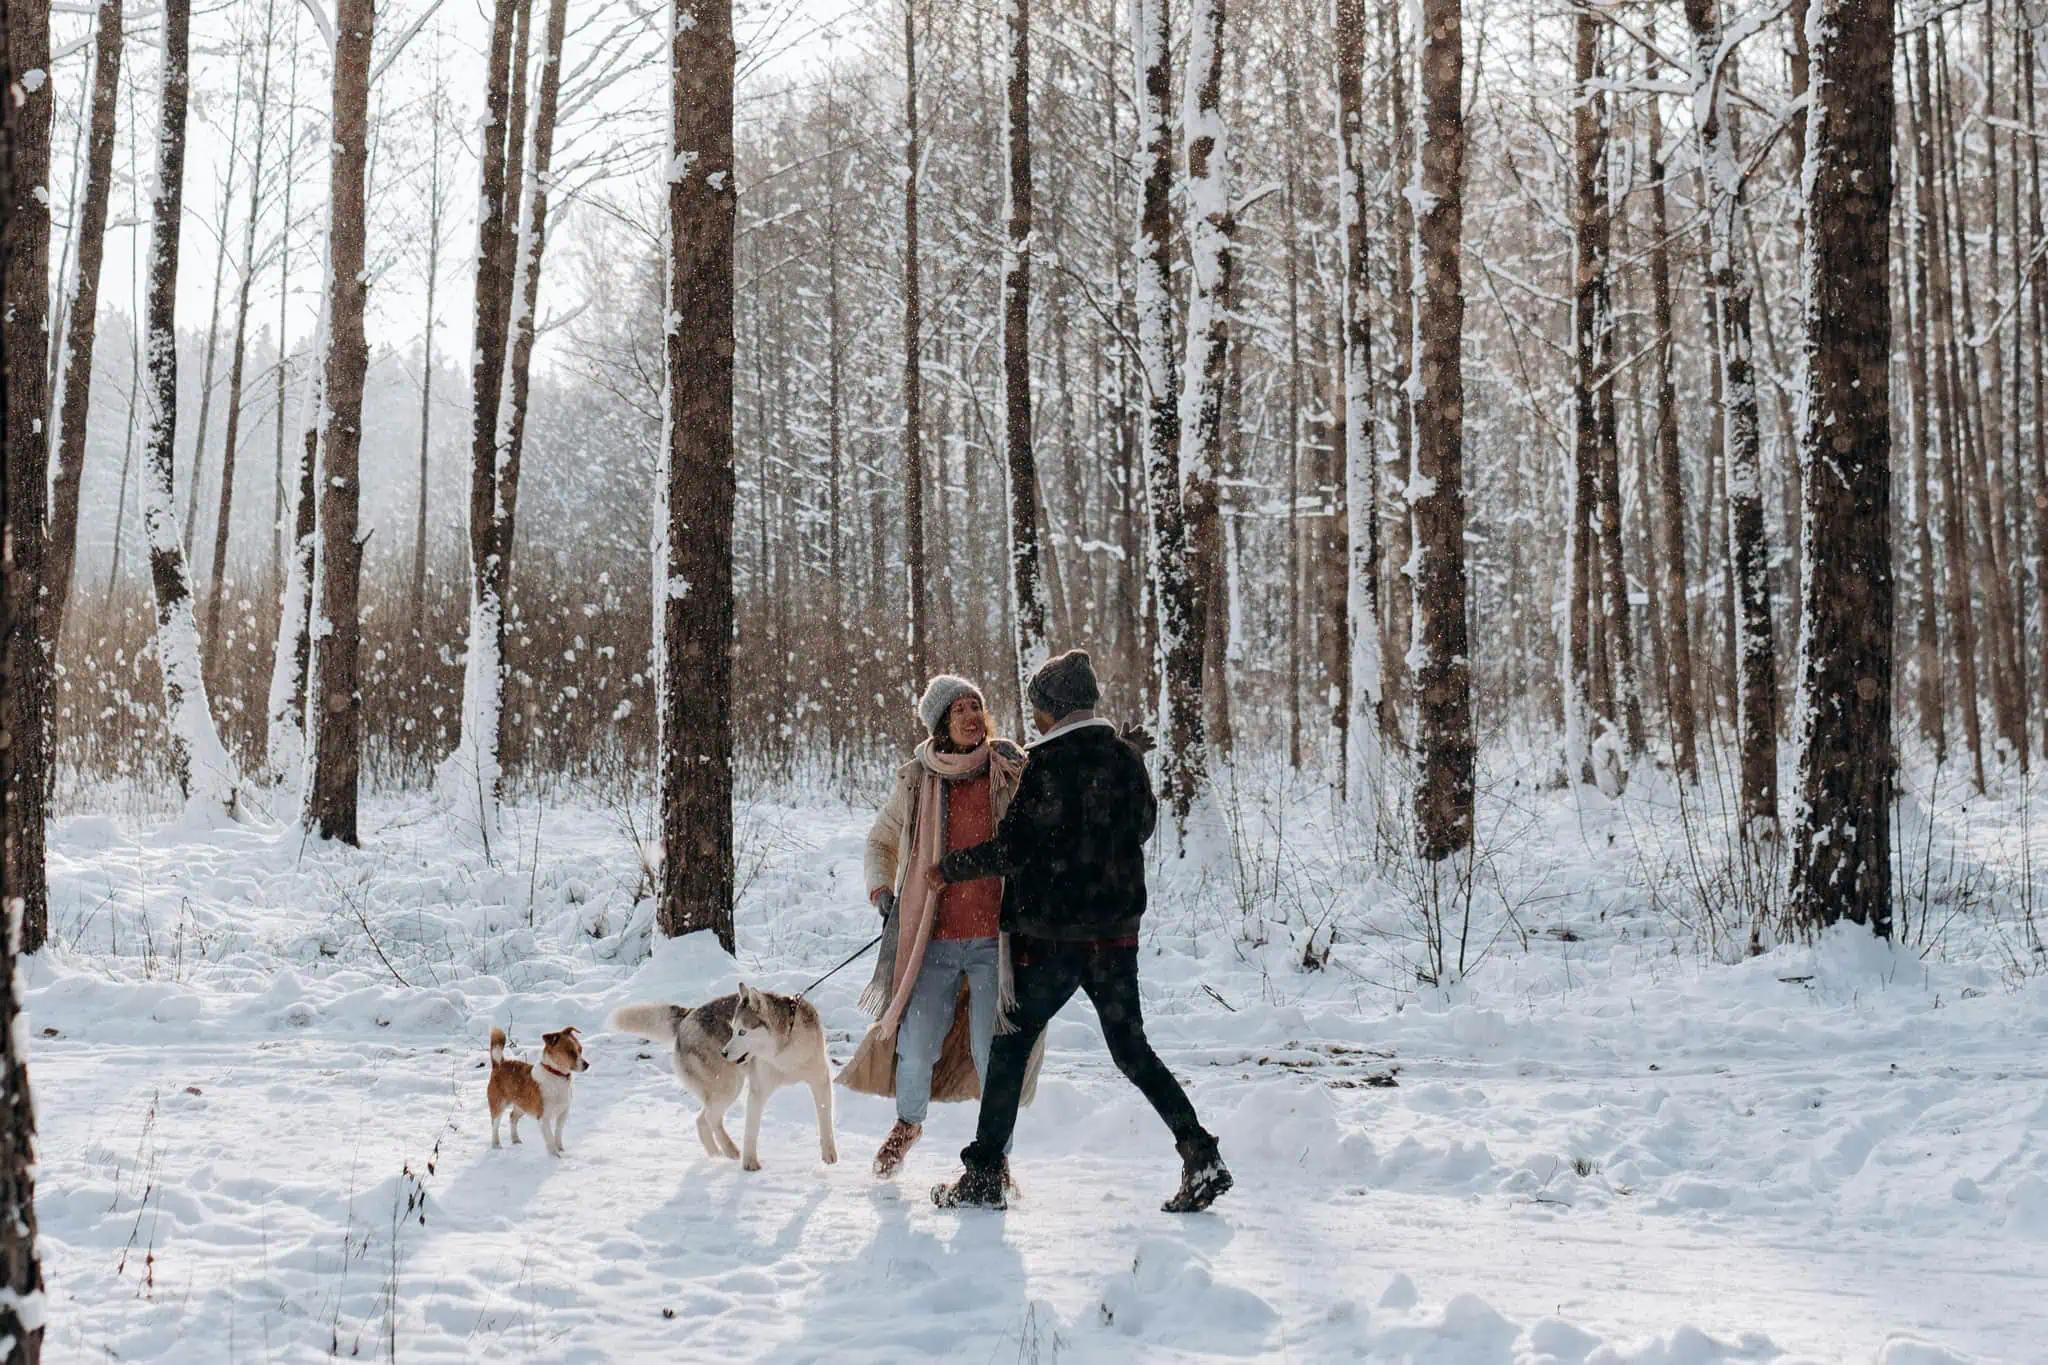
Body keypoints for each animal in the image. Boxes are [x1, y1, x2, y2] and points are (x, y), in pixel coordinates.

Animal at [606, 982, 839, 1178]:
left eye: (742, 1032)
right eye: (732, 1030)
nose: (724, 1053)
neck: (784, 1052)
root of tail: (689, 1015)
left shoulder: (821, 1082)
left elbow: (825, 1120)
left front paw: (829, 1154)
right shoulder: (758, 1091)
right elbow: (750, 1132)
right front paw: (749, 1163)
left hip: (724, 1089)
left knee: (702, 1120)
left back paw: (716, 1154)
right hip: (729, 1087)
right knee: (710, 1118)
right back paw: (729, 1149)